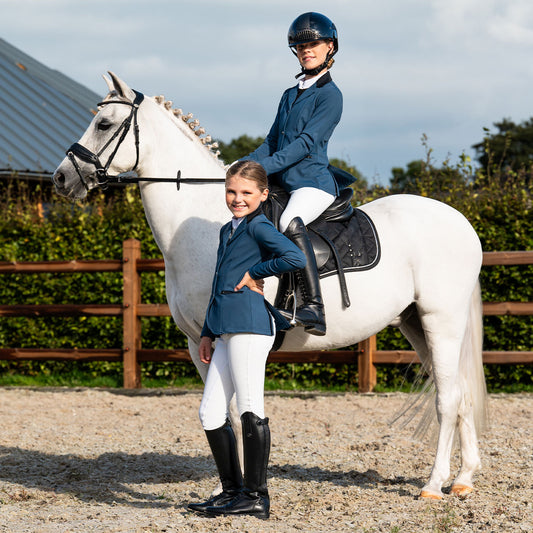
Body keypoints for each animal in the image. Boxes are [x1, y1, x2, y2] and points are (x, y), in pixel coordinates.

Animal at [53, 71, 486, 498]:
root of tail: (460, 220)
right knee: (461, 391)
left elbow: (243, 410)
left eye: (103, 124)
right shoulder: (198, 343)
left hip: (440, 321)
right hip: (415, 323)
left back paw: (434, 485)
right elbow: (224, 414)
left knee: (448, 397)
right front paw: (228, 488)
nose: (61, 177)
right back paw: (464, 480)